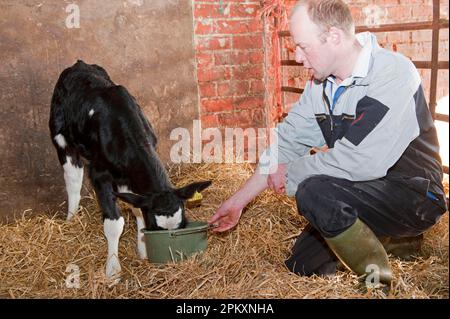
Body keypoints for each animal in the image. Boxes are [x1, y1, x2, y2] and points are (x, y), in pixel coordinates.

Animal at [49, 60, 211, 280]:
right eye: (155, 227)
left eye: (182, 224)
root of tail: (78, 64)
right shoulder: (100, 174)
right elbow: (114, 223)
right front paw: (113, 269)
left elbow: (136, 206)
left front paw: (142, 250)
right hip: (60, 137)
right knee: (73, 177)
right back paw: (71, 219)